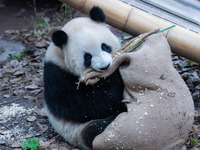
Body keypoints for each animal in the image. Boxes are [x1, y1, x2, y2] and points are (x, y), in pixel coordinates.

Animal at [43, 6, 126, 149]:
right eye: (87, 56)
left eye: (104, 46)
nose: (105, 66)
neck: (60, 55)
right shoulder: (55, 76)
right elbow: (88, 104)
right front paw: (115, 77)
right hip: (77, 133)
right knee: (95, 130)